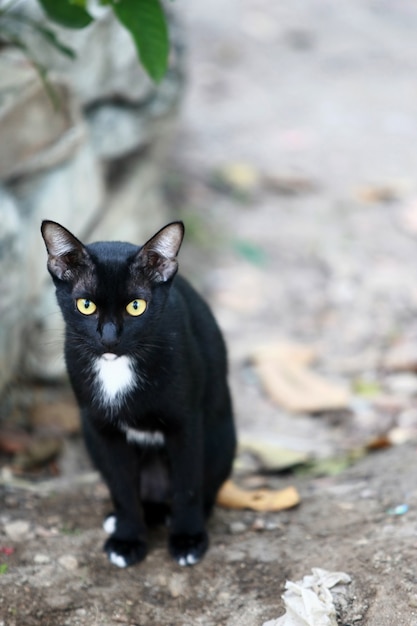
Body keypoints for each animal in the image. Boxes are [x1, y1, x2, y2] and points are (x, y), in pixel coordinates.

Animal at [42, 219, 237, 564]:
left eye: (136, 306)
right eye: (86, 305)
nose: (109, 338)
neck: (117, 367)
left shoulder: (185, 424)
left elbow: (188, 485)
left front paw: (188, 539)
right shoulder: (102, 429)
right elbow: (122, 488)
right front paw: (128, 539)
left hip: (221, 440)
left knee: (203, 487)